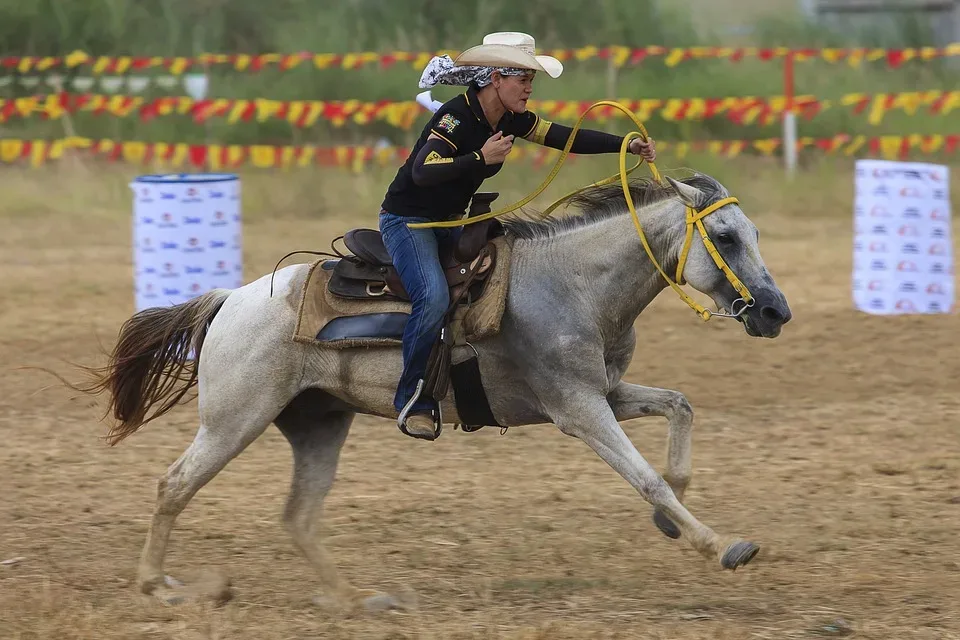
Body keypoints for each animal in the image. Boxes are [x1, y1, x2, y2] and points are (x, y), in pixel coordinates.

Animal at [79, 172, 792, 608]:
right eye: (725, 236)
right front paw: (720, 545)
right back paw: (160, 586)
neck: (573, 282)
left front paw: (672, 521)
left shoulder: (603, 392)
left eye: (754, 233)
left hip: (317, 423)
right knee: (174, 485)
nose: (775, 311)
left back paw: (354, 600)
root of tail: (231, 298)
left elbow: (679, 407)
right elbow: (645, 477)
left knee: (298, 516)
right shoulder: (578, 408)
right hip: (235, 419)